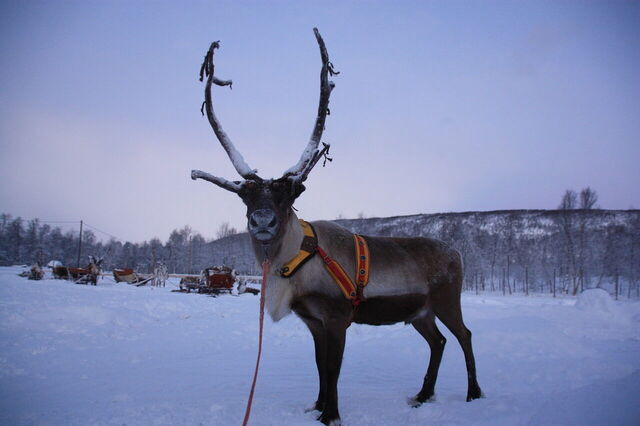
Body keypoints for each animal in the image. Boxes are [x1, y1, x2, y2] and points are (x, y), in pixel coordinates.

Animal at [191, 28, 482, 426]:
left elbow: (332, 369)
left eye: (289, 194)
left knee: (464, 334)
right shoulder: (313, 321)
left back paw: (473, 394)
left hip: (446, 299)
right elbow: (318, 366)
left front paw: (332, 415)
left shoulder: (337, 317)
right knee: (439, 341)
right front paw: (316, 407)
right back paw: (423, 395)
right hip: (420, 312)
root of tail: (457, 253)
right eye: (245, 196)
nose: (262, 221)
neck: (296, 262)